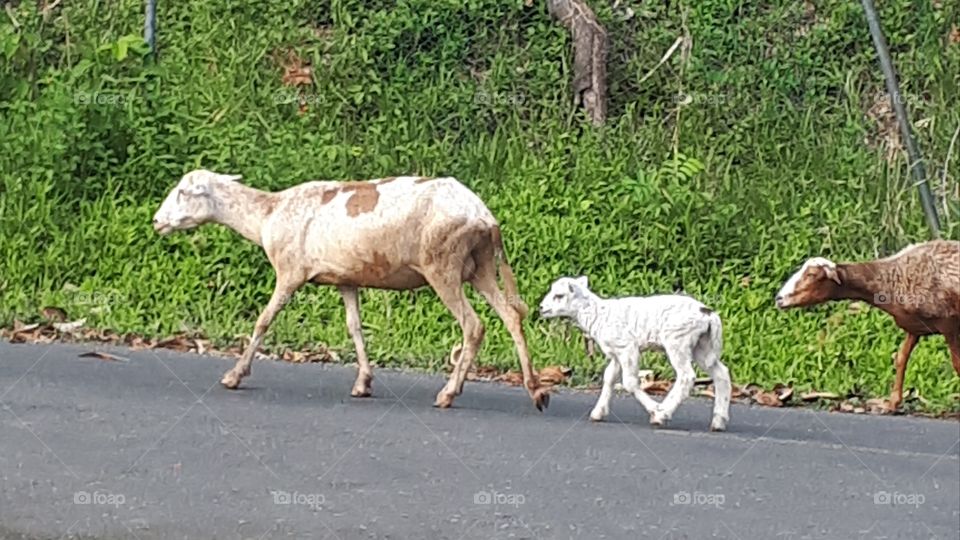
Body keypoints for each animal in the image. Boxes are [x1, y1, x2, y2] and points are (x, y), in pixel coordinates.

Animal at [152, 169, 550, 411]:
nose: (156, 222)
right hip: (479, 266)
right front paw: (363, 383)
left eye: (184, 192)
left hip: (444, 264)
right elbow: (355, 327)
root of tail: (484, 216)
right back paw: (536, 390)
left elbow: (264, 321)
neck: (267, 216)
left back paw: (448, 393)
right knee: (512, 316)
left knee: (474, 325)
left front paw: (234, 376)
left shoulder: (290, 271)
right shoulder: (346, 279)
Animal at [538, 276, 731, 431]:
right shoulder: (616, 352)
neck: (597, 314)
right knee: (721, 374)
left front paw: (655, 410)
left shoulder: (626, 347)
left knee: (686, 376)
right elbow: (609, 378)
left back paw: (663, 413)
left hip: (677, 340)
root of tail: (708, 315)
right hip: (702, 346)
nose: (541, 308)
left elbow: (629, 382)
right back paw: (719, 421)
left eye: (559, 295)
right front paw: (598, 412)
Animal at [776, 239, 960, 411]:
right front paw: (892, 403)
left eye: (812, 274)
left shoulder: (949, 324)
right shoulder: (914, 326)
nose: (778, 298)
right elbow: (901, 358)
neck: (891, 279)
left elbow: (957, 364)